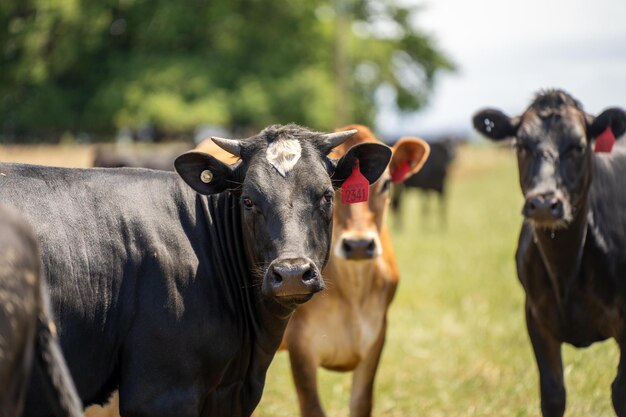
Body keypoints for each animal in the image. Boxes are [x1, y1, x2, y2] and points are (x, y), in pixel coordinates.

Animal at [282, 124, 432, 416]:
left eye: (386, 184)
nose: (359, 245)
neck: (352, 291)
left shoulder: (375, 340)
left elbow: (362, 403)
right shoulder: (299, 347)